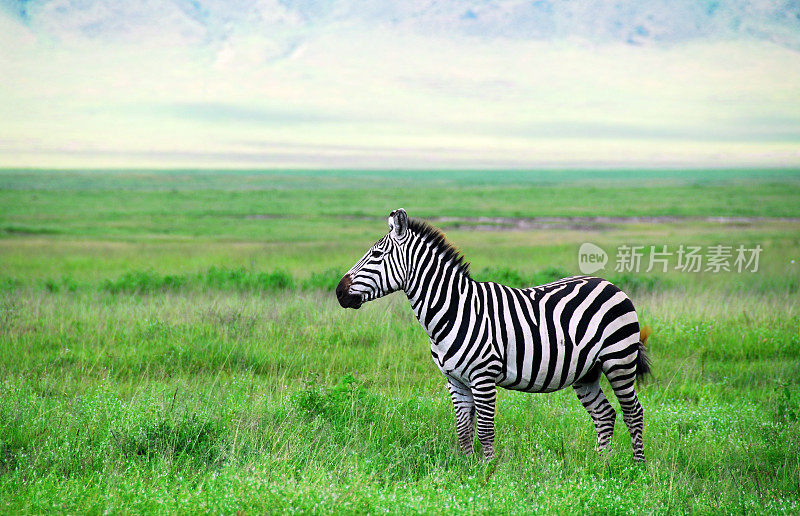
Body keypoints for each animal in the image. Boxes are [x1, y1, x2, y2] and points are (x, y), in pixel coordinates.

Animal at [336, 208, 648, 462]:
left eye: (376, 255)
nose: (339, 292)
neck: (454, 310)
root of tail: (609, 283)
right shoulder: (454, 380)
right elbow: (463, 430)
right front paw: (464, 470)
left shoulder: (483, 377)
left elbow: (485, 431)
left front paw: (488, 473)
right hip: (587, 371)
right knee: (605, 415)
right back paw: (600, 465)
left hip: (618, 360)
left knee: (633, 412)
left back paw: (636, 469)